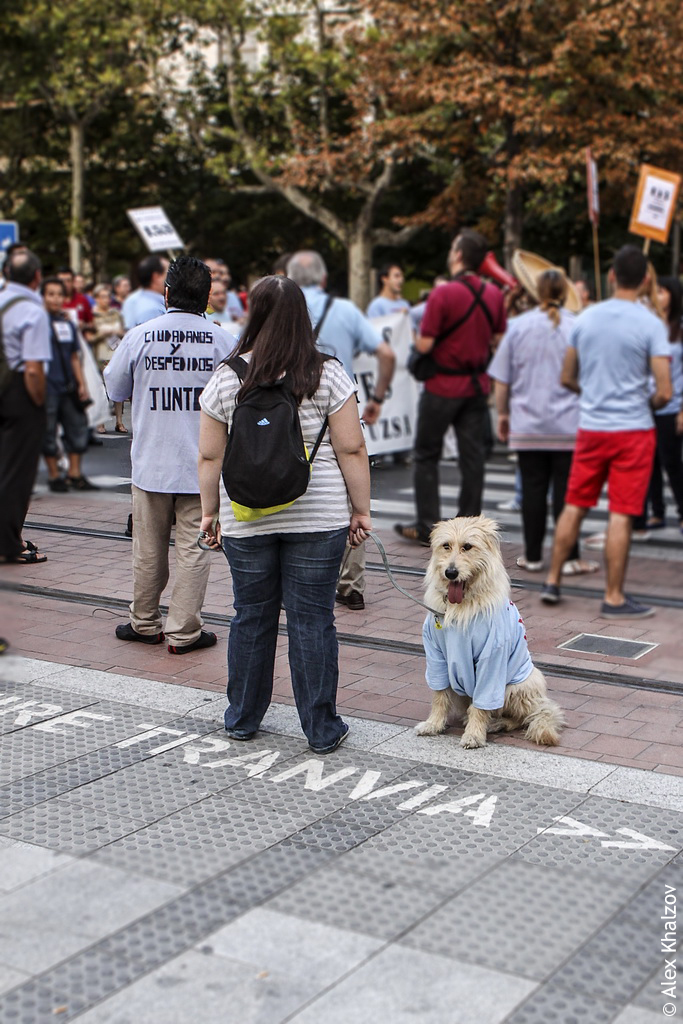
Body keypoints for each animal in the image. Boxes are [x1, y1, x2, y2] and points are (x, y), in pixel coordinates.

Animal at [417, 516, 565, 749]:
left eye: (468, 547)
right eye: (446, 545)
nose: (451, 573)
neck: (461, 606)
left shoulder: (492, 658)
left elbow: (481, 704)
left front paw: (474, 734)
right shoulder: (436, 657)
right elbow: (440, 697)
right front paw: (433, 724)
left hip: (518, 686)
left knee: (521, 717)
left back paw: (497, 723)